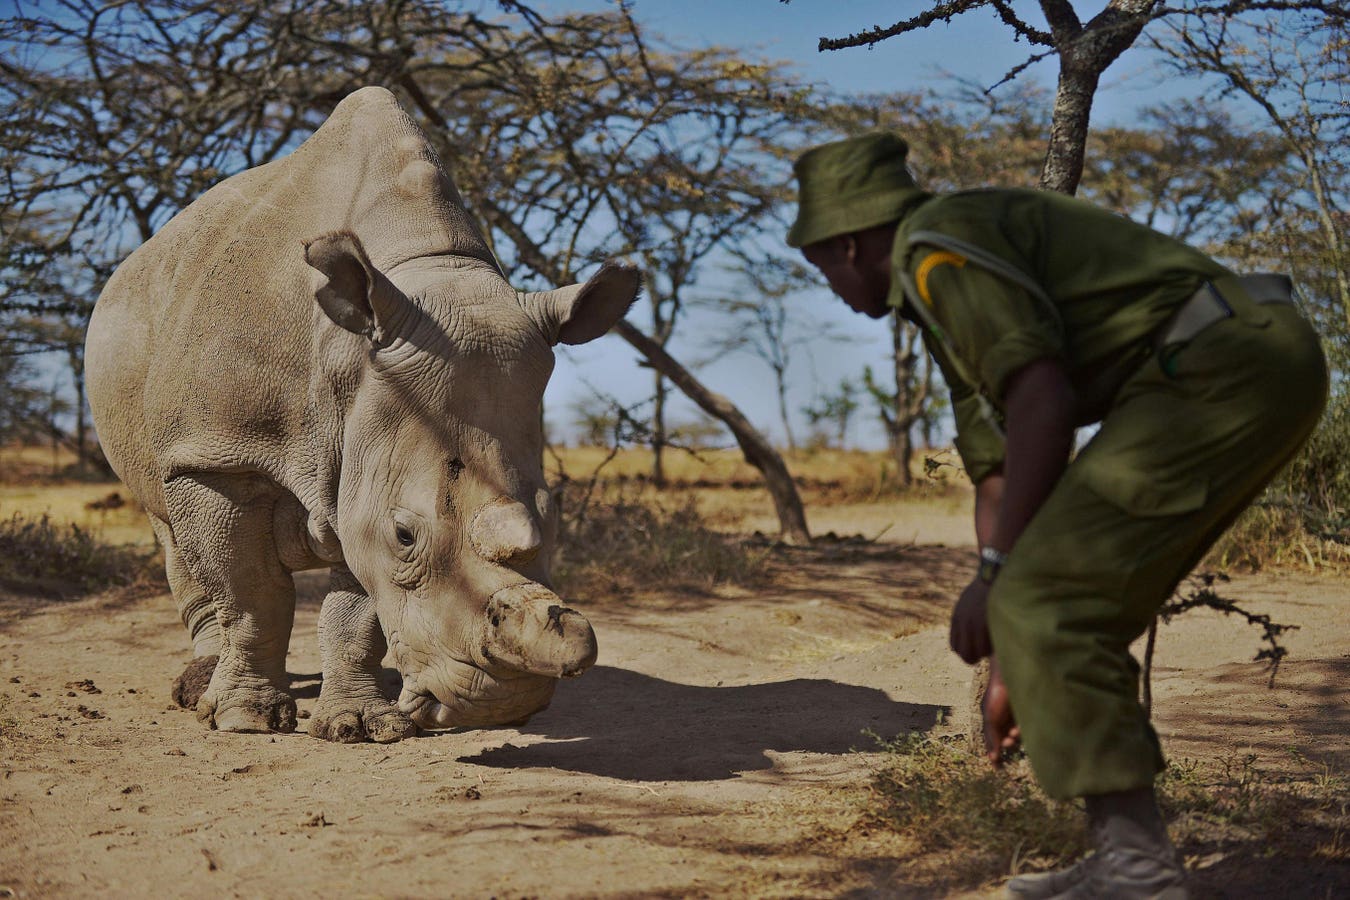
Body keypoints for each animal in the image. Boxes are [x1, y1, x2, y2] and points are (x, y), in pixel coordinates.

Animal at [85, 86, 639, 742]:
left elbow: (357, 611)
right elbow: (252, 594)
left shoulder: (368, 451)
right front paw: (246, 720)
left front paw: (361, 726)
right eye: (406, 536)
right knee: (173, 528)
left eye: (554, 517)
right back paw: (198, 688)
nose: (500, 706)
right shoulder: (220, 452)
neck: (346, 362)